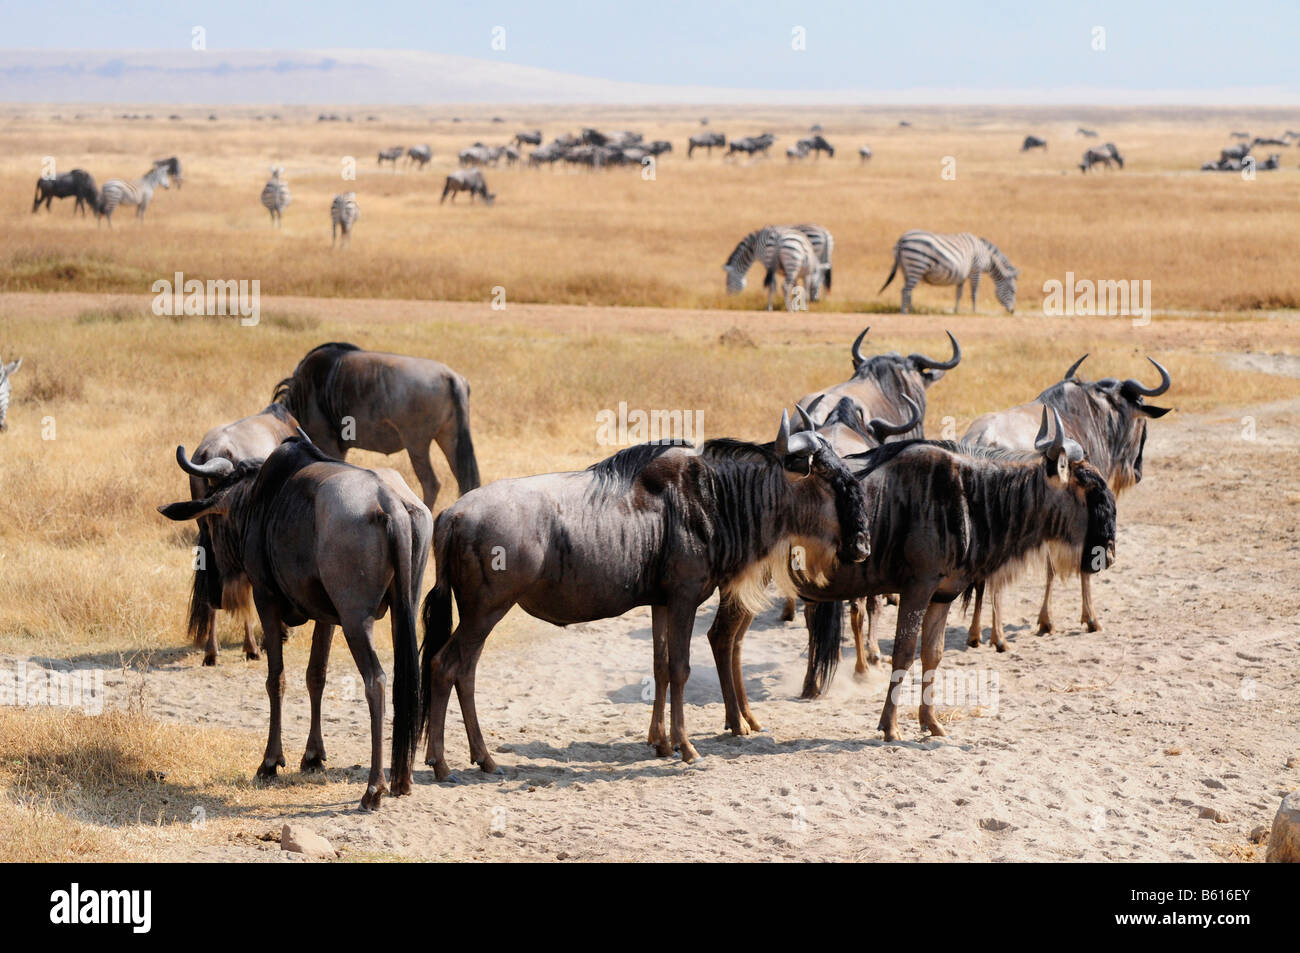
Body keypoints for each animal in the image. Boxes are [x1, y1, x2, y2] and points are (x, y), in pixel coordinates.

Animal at [878, 231, 1019, 314]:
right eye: (1013, 291)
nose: (1012, 311)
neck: (988, 257)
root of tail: (902, 239)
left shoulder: (963, 274)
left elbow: (959, 293)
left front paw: (956, 310)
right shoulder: (976, 269)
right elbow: (974, 292)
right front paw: (975, 311)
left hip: (906, 269)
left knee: (908, 291)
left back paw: (912, 309)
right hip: (917, 265)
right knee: (905, 290)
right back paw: (904, 312)